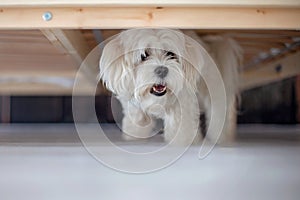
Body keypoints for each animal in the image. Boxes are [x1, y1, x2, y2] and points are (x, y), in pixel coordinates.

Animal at [99, 28, 243, 145]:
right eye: (144, 55)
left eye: (170, 54)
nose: (162, 70)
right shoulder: (134, 107)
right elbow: (137, 121)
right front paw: (134, 137)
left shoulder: (183, 104)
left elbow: (181, 127)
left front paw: (182, 142)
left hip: (213, 90)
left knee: (218, 114)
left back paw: (220, 138)